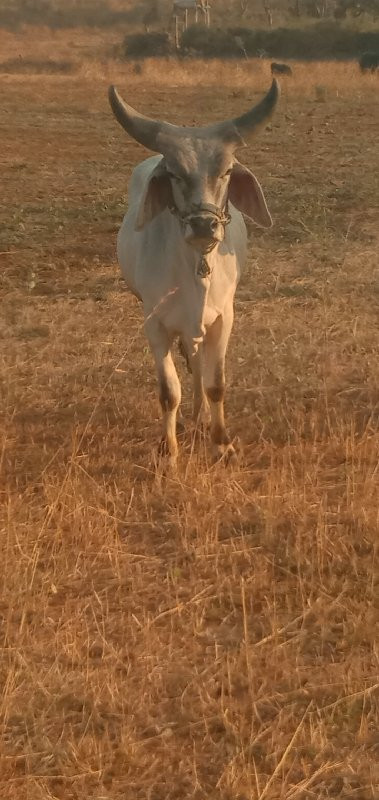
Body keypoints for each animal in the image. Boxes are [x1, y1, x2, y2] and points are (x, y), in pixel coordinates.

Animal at [108, 80, 280, 462]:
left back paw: (201, 417)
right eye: (173, 173)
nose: (203, 225)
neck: (194, 272)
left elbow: (215, 384)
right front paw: (168, 448)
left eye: (227, 171)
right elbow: (169, 391)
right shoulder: (154, 323)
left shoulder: (223, 318)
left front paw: (221, 442)